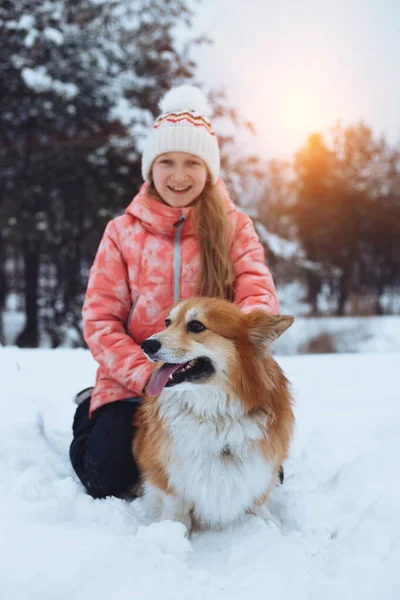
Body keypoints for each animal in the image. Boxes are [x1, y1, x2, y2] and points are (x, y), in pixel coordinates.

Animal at [134, 298, 294, 532]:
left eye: (196, 326)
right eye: (167, 322)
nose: (146, 345)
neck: (215, 415)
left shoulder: (261, 465)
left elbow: (258, 499)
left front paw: (267, 525)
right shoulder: (169, 471)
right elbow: (176, 506)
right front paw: (173, 531)